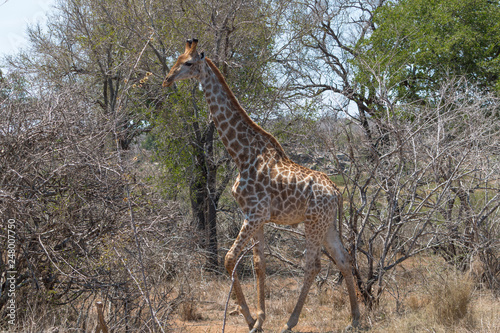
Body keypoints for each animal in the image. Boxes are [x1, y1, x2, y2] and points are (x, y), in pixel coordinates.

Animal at [164, 39, 360, 332]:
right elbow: (259, 264)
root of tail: (336, 192)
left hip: (313, 223)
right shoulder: (255, 216)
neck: (241, 154)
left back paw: (290, 322)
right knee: (344, 259)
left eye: (188, 63)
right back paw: (356, 319)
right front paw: (259, 319)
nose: (167, 79)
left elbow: (229, 259)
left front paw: (249, 317)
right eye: (176, 59)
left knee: (313, 265)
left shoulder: (256, 214)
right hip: (328, 225)